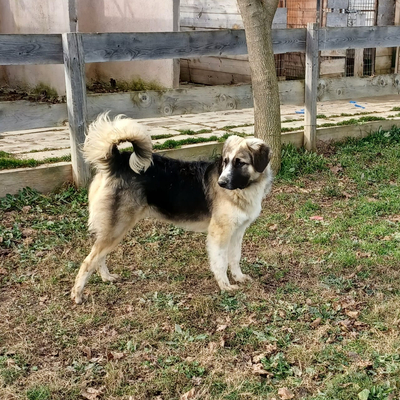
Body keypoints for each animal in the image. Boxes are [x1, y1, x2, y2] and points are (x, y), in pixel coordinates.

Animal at [70, 112, 274, 304]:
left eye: (240, 163)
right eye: (225, 162)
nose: (221, 183)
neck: (244, 189)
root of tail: (118, 161)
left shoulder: (237, 232)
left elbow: (235, 258)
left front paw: (238, 277)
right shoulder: (220, 233)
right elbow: (221, 262)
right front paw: (225, 285)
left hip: (112, 229)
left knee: (99, 257)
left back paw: (106, 277)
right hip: (116, 228)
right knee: (89, 261)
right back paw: (77, 294)